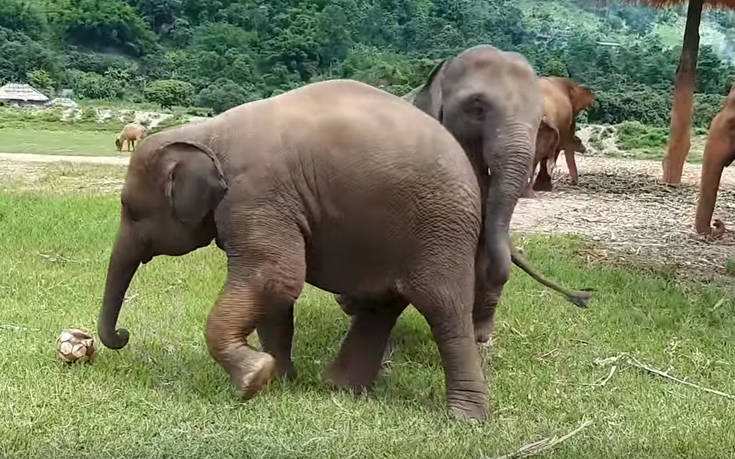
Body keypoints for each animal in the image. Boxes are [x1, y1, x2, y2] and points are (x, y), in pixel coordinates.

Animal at [99, 78, 500, 420]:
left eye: (132, 212)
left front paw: (253, 380)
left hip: (441, 228)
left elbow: (275, 277)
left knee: (443, 308)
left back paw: (465, 418)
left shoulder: (255, 197)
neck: (205, 133)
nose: (123, 336)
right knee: (381, 305)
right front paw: (278, 377)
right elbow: (275, 293)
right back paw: (341, 388)